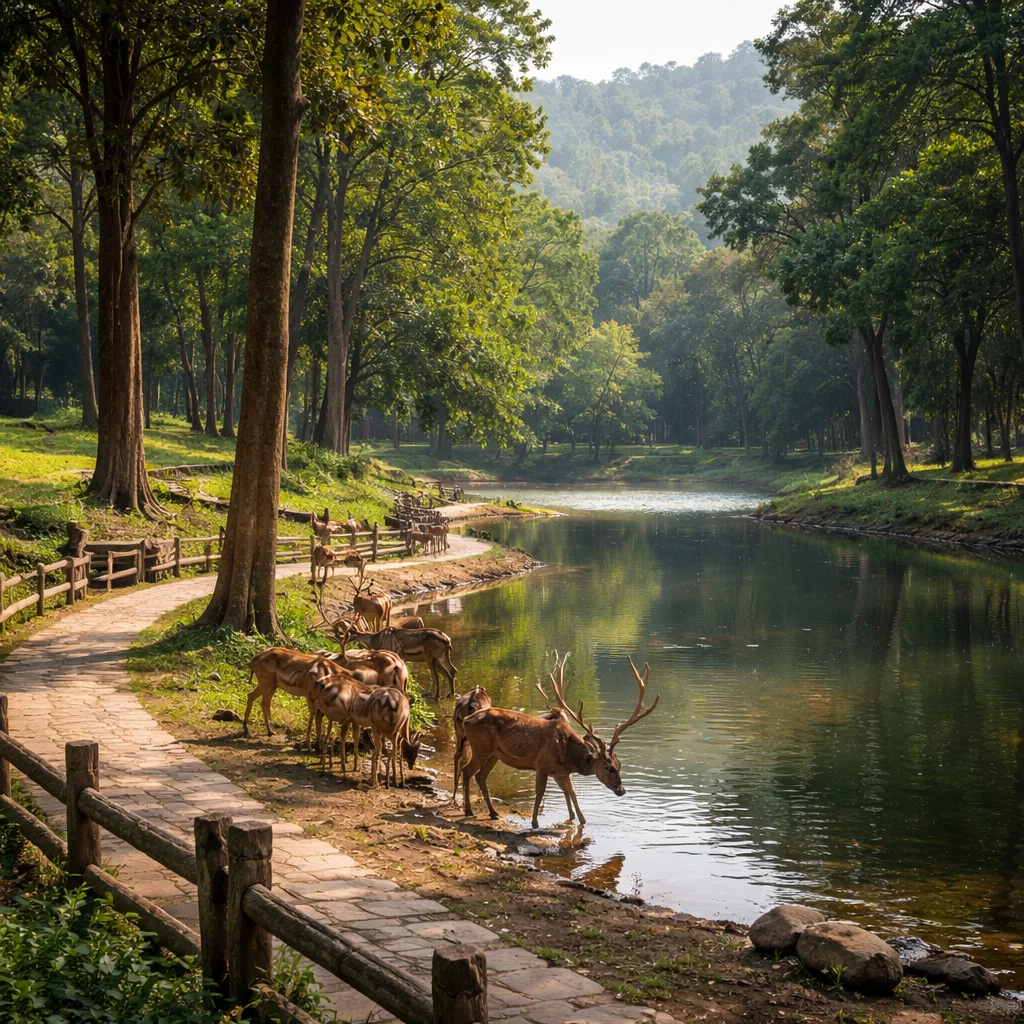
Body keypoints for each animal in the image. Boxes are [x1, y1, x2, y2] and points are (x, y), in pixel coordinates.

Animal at [459, 653, 659, 829]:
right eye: (608, 767)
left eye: (620, 765)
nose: (621, 789)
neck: (569, 756)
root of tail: (466, 720)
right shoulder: (543, 763)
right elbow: (540, 792)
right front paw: (535, 823)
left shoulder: (560, 773)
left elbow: (572, 793)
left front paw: (581, 820)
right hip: (481, 748)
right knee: (467, 769)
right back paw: (469, 811)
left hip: (495, 755)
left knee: (480, 775)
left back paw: (493, 813)